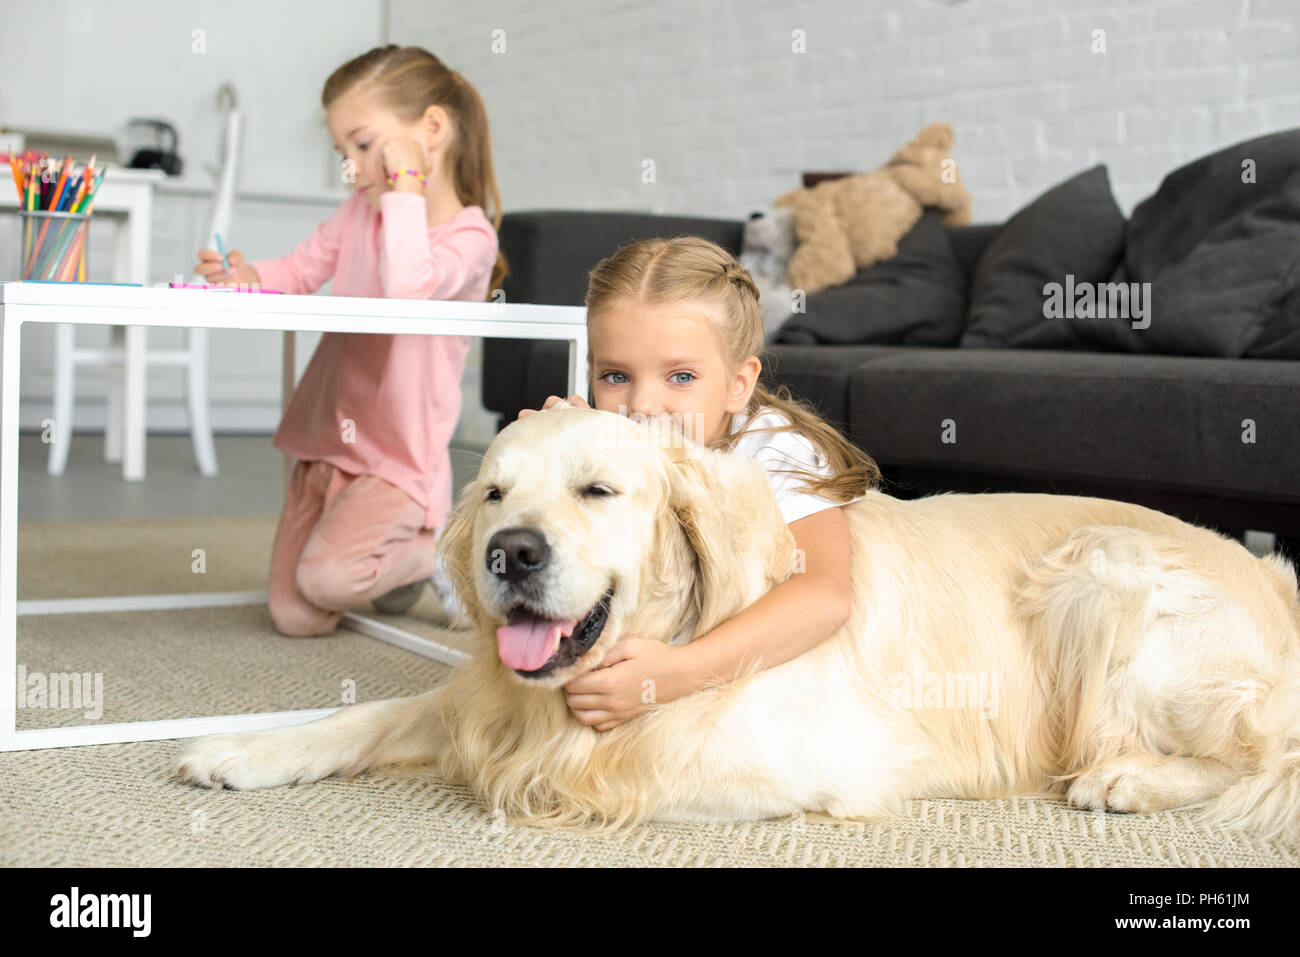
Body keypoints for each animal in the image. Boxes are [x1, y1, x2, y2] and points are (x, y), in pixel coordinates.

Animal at [178, 408, 1300, 842]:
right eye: (495, 494)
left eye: (597, 491)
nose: (511, 556)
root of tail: (1270, 574)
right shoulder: (487, 692)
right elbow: (367, 718)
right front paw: (240, 749)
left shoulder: (811, 761)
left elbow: (615, 771)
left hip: (1104, 570)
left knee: (1261, 754)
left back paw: (1127, 778)